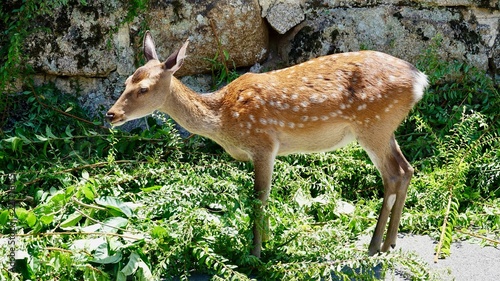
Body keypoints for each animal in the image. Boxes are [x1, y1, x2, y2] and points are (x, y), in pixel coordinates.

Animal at [107, 30, 428, 256]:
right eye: (126, 82)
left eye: (144, 89)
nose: (112, 114)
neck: (223, 120)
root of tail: (419, 80)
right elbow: (266, 198)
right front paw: (270, 242)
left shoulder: (262, 143)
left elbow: (258, 199)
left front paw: (256, 252)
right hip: (385, 127)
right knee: (406, 169)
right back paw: (390, 243)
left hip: (373, 125)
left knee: (393, 174)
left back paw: (374, 246)